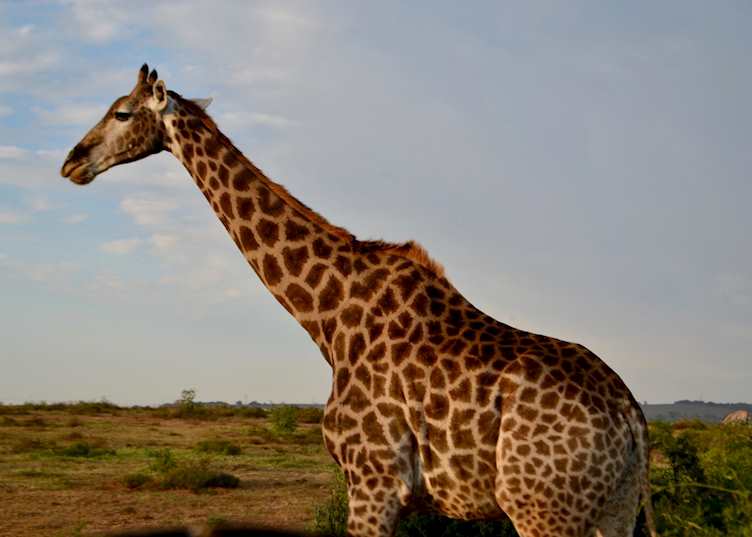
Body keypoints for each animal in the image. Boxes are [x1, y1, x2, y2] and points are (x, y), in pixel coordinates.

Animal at [61, 64, 657, 537]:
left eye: (120, 112)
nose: (70, 162)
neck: (327, 316)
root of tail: (632, 419)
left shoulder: (373, 481)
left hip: (542, 508)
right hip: (613, 509)